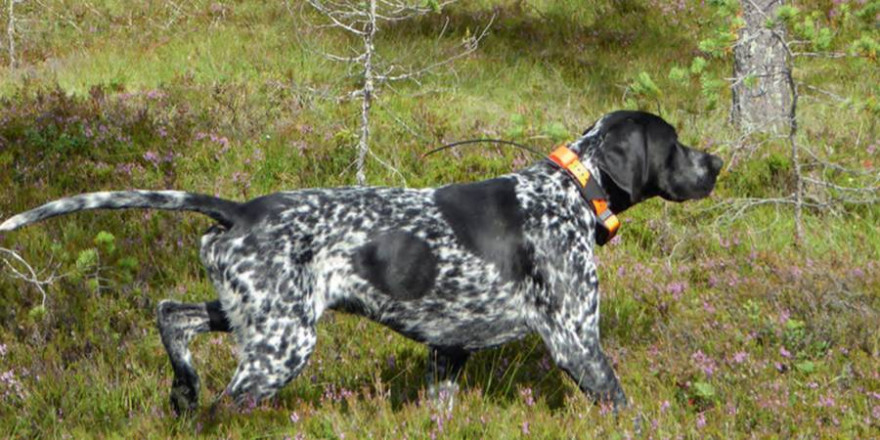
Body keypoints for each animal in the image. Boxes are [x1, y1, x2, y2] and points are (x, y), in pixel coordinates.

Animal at [0, 111, 720, 414]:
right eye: (677, 143)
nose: (716, 162)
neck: (568, 190)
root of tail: (242, 210)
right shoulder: (576, 342)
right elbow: (622, 407)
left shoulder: (447, 353)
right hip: (280, 347)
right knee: (219, 403)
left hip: (251, 314)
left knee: (170, 315)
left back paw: (182, 389)